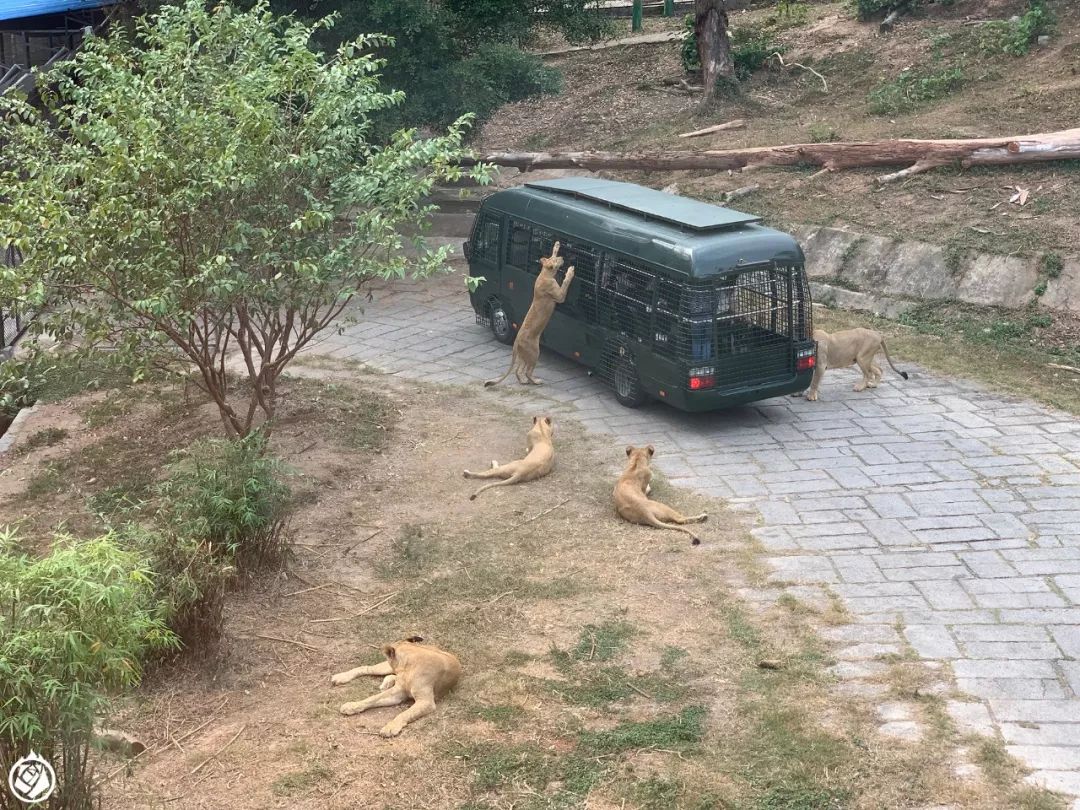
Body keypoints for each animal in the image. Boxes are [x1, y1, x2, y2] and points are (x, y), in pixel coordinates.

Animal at [330, 639, 462, 738]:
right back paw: (341, 677)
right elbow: (373, 698)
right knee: (366, 668)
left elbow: (405, 714)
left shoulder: (425, 702)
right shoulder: (398, 693)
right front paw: (352, 706)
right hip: (384, 667)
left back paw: (388, 682)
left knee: (389, 675)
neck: (408, 666)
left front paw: (390, 727)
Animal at [488, 240, 578, 386]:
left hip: (525, 355)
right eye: (557, 261)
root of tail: (516, 340)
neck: (545, 273)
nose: (563, 258)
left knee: (518, 370)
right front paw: (570, 271)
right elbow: (565, 283)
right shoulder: (559, 296)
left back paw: (523, 381)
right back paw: (536, 381)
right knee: (527, 371)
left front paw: (556, 245)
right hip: (535, 352)